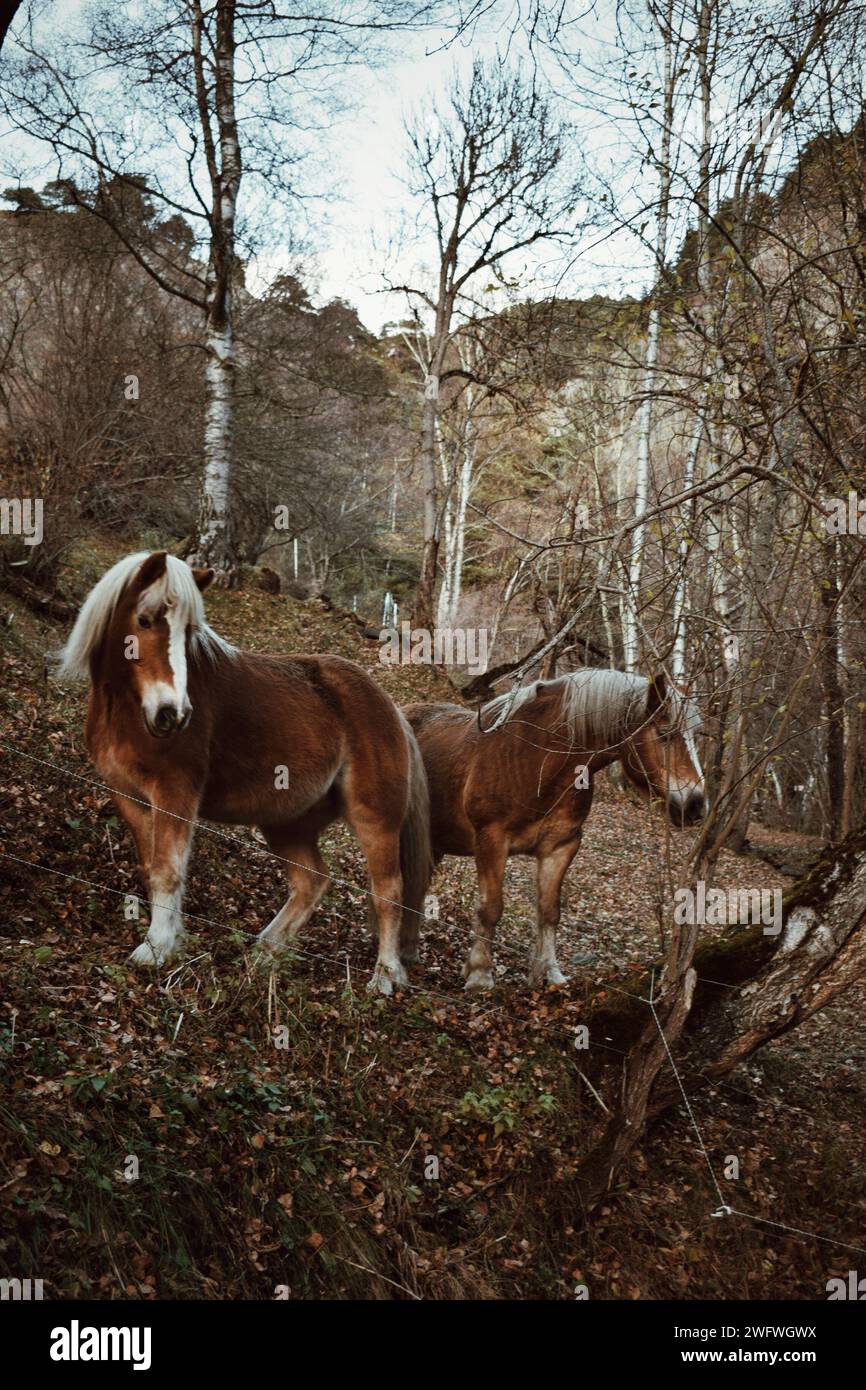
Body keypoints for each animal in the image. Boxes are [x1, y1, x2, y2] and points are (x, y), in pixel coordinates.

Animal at [59, 547, 430, 995]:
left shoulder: (175, 794)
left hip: (375, 821)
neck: (126, 711)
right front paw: (170, 940)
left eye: (188, 632)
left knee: (388, 892)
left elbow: (168, 870)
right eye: (144, 621)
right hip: (287, 823)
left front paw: (156, 949)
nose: (173, 714)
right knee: (311, 880)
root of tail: (391, 708)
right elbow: (151, 869)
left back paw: (384, 977)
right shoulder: (126, 795)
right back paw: (264, 953)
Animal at [405, 669, 706, 989]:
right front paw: (479, 973)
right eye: (665, 733)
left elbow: (549, 911)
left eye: (696, 735)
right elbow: (490, 909)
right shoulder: (491, 841)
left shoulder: (561, 846)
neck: (538, 764)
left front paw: (549, 972)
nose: (695, 804)